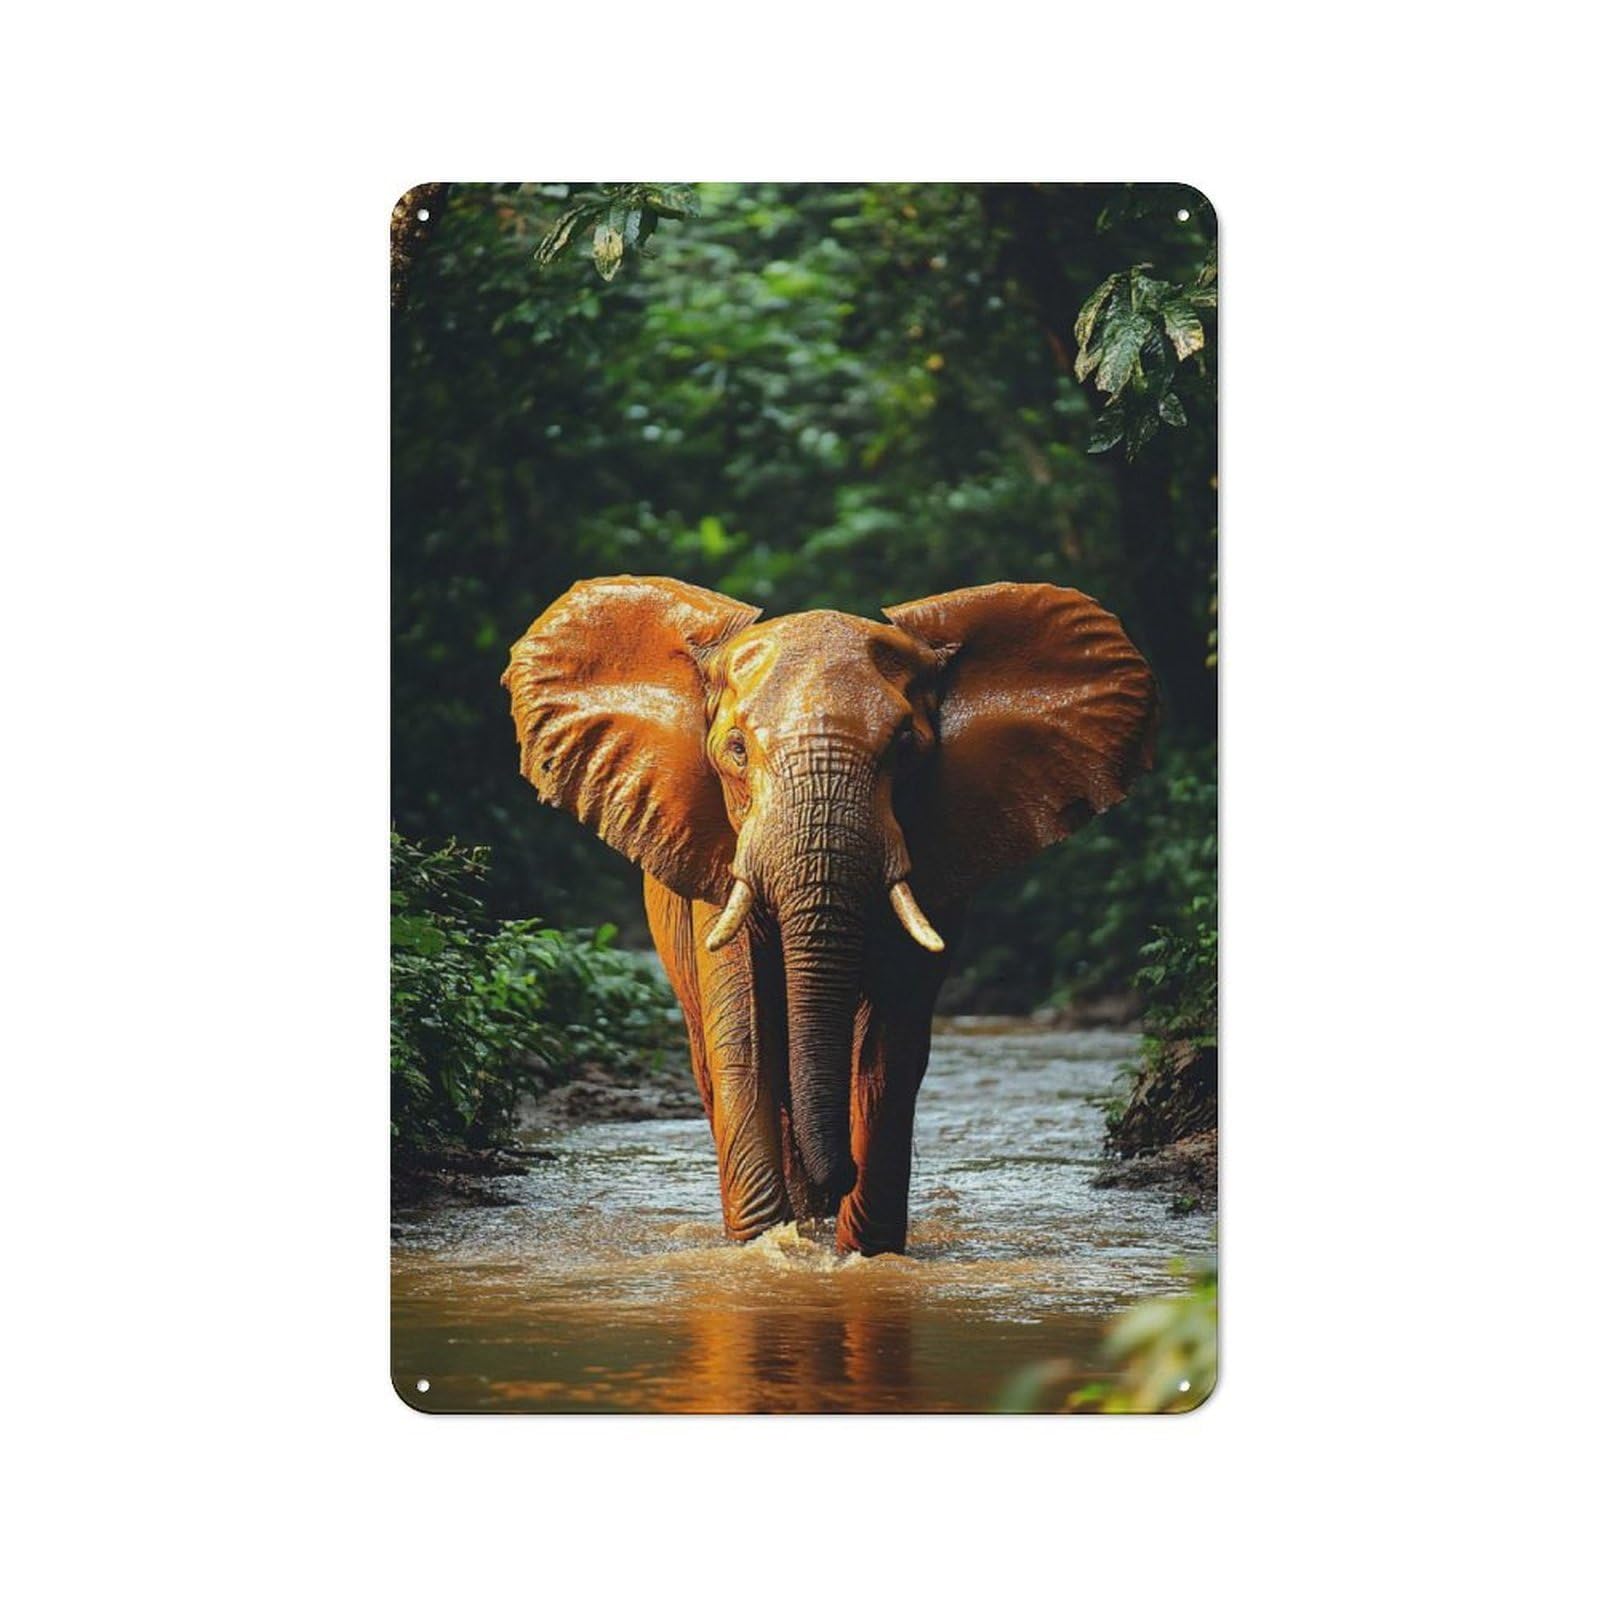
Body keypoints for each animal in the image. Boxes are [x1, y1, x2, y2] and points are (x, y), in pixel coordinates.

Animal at [502, 576, 1157, 1255]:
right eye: (736, 750)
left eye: (905, 749)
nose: (838, 1171)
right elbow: (746, 1040)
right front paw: (767, 1247)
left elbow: (887, 1051)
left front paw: (863, 1253)